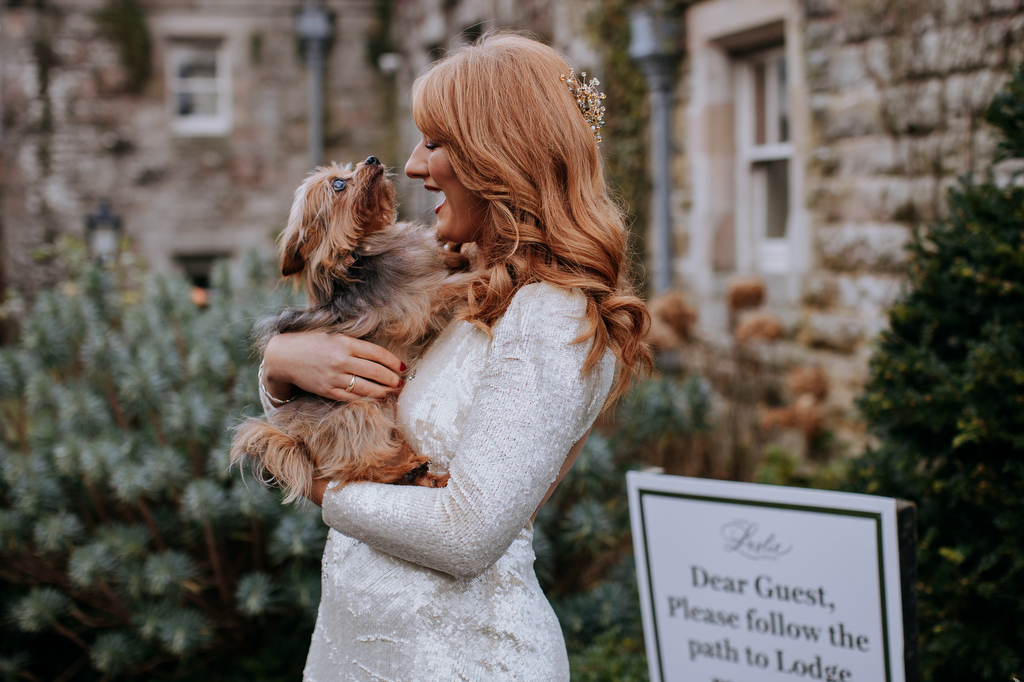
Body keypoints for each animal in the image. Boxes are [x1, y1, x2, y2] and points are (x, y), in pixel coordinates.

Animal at [230, 156, 468, 501]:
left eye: (347, 171)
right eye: (338, 184)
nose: (372, 159)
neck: (364, 244)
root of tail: (298, 442)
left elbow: (448, 259)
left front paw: (457, 254)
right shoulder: (421, 300)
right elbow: (459, 284)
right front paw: (498, 270)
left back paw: (421, 474)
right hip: (360, 412)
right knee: (363, 465)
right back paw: (407, 470)